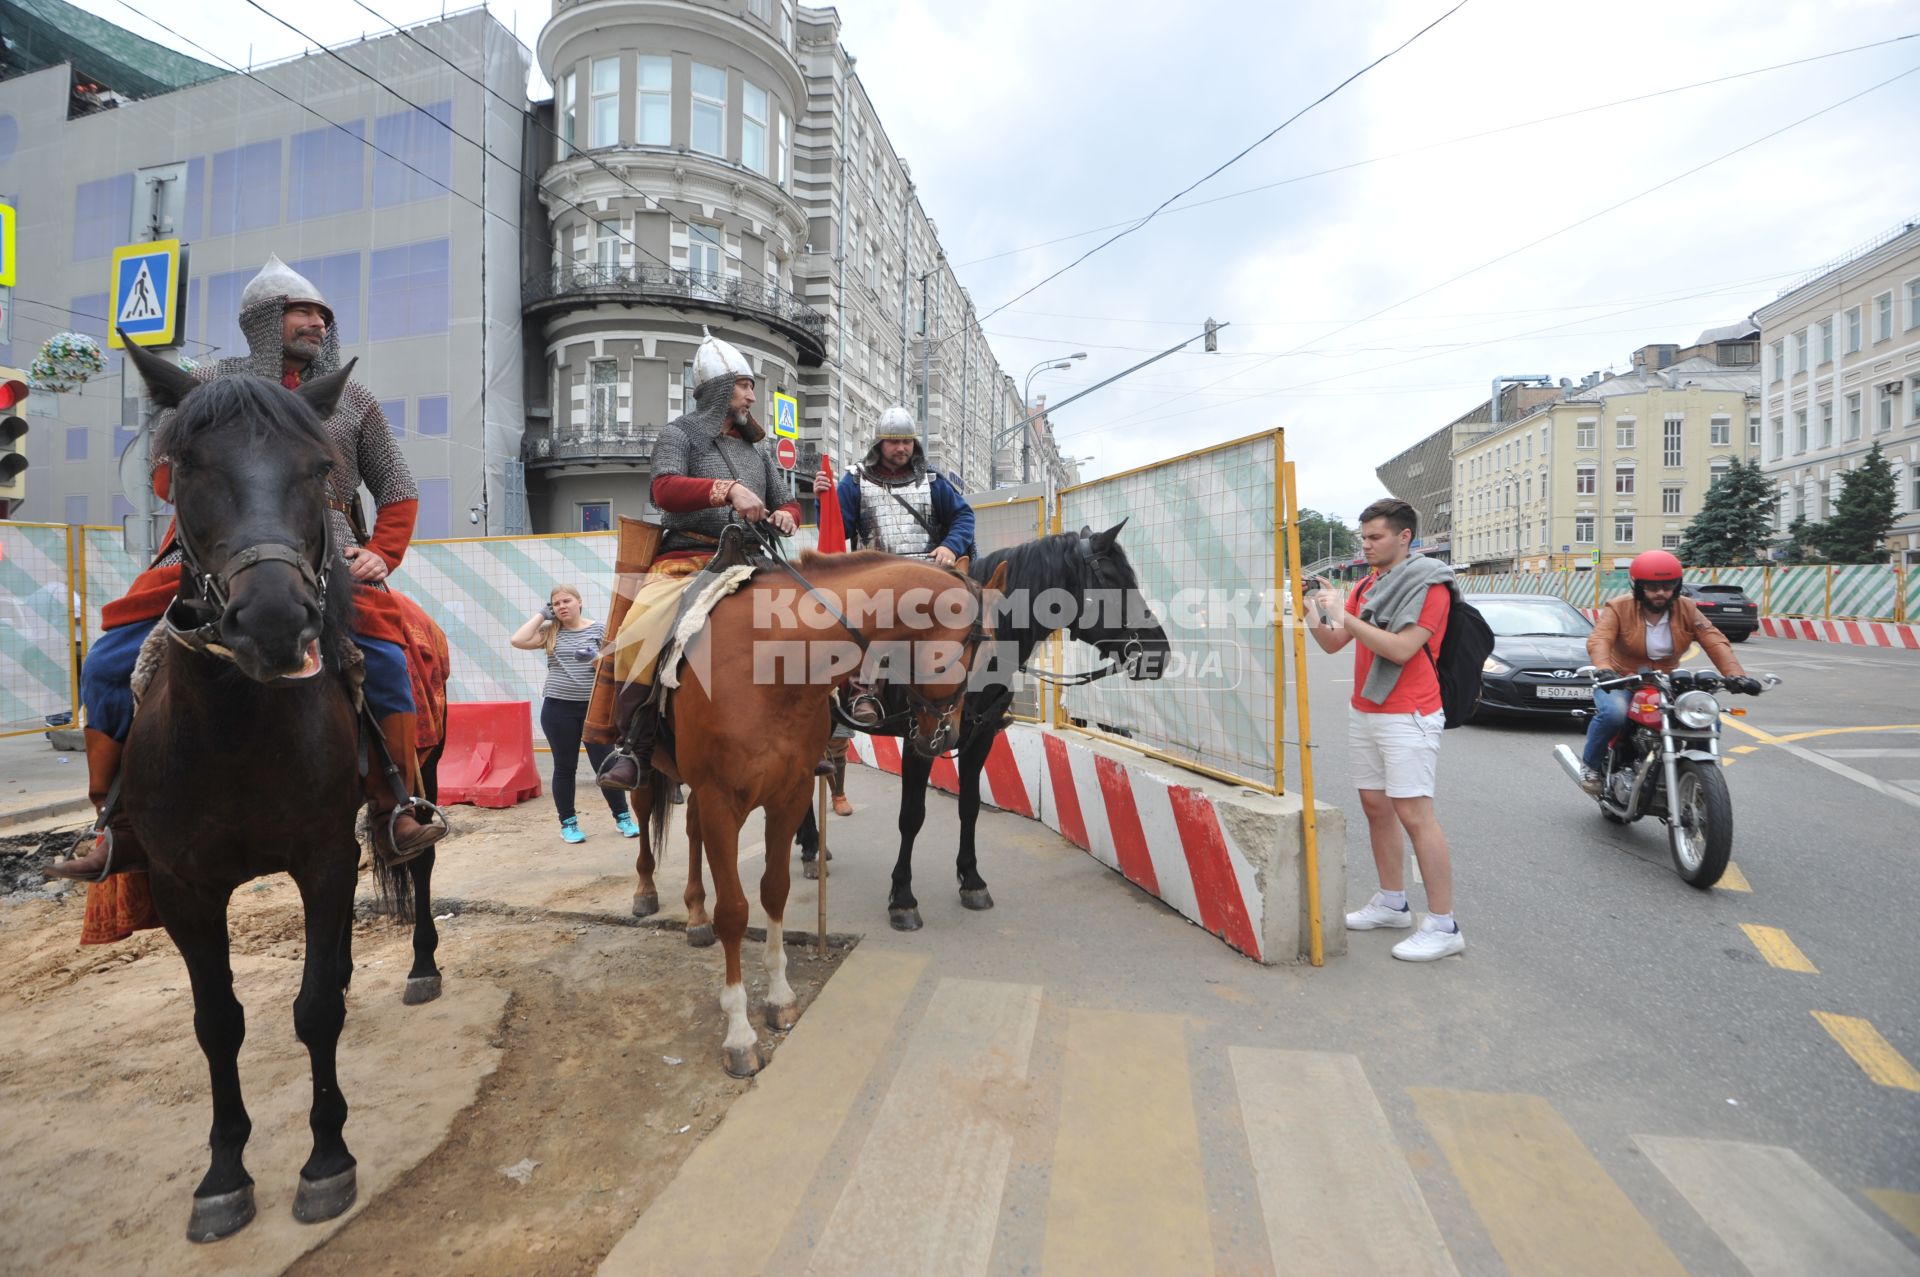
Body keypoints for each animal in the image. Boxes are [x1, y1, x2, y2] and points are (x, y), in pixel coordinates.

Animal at [121, 341, 443, 1244]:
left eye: (317, 468)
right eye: (188, 465)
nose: (271, 620)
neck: (237, 729)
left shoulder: (322, 855)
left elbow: (313, 1009)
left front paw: (327, 1158)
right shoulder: (182, 886)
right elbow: (217, 1021)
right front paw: (224, 1173)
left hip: (419, 775)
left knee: (418, 869)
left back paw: (421, 966)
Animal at [629, 549, 1006, 1075]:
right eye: (983, 646)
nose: (952, 733)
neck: (771, 667)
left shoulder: (788, 795)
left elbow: (774, 892)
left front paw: (780, 998)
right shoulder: (722, 800)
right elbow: (736, 912)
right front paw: (740, 1035)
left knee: (690, 831)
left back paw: (695, 912)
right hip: (647, 770)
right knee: (644, 816)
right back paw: (646, 890)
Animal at [871, 518, 1167, 925]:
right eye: (1114, 579)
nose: (1159, 652)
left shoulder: (979, 738)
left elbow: (970, 806)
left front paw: (971, 880)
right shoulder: (921, 743)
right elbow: (912, 816)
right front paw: (902, 896)